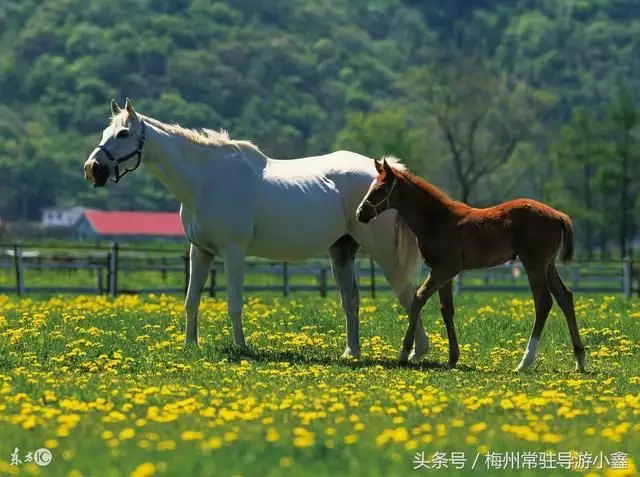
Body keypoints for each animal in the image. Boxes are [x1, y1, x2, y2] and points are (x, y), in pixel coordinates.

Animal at [81, 98, 430, 358]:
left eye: (123, 134)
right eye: (106, 131)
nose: (92, 169)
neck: (206, 181)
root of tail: (387, 175)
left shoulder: (233, 253)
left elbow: (234, 304)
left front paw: (241, 347)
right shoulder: (201, 252)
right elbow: (191, 301)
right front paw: (190, 345)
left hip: (384, 253)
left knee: (408, 294)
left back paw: (417, 353)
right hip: (342, 252)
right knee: (352, 300)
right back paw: (352, 353)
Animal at [356, 159, 584, 372]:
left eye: (380, 188)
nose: (360, 213)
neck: (438, 220)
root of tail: (558, 215)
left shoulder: (445, 269)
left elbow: (418, 297)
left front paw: (406, 353)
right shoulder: (443, 273)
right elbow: (446, 309)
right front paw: (453, 358)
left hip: (534, 264)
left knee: (543, 302)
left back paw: (525, 361)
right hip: (548, 265)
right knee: (565, 297)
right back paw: (579, 359)